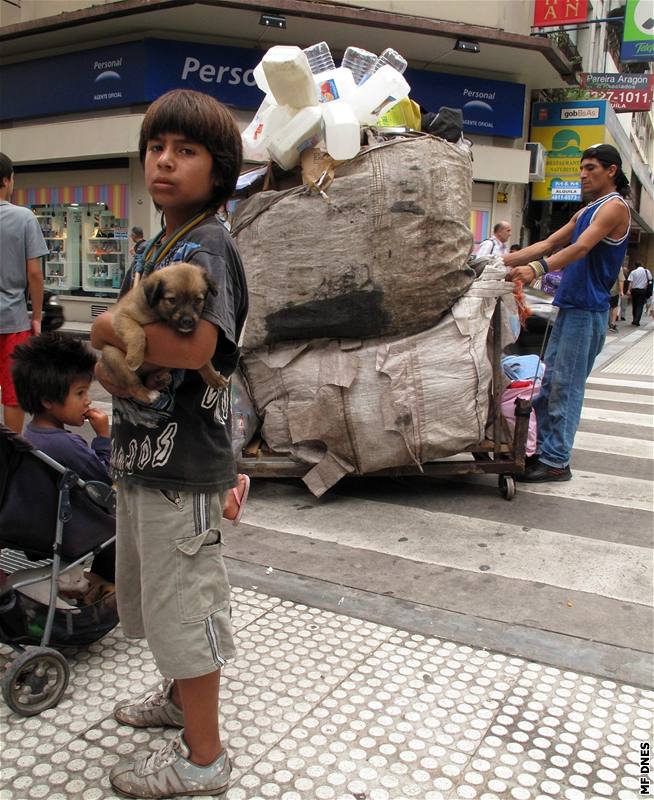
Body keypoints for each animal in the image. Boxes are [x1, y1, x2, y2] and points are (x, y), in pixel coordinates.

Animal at [98, 262, 229, 404]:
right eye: (172, 300)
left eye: (198, 300)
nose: (187, 322)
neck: (158, 312)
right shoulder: (122, 316)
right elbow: (137, 332)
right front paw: (135, 358)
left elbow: (204, 361)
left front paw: (214, 377)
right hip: (112, 354)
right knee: (133, 385)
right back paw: (148, 394)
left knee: (150, 380)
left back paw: (159, 381)